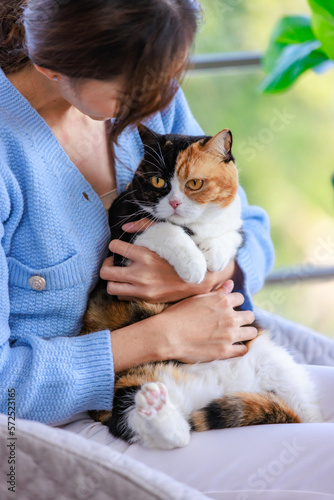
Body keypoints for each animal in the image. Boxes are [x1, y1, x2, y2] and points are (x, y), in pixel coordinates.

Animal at [79, 124, 322, 450]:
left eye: (194, 183)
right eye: (158, 181)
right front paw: (194, 265)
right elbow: (164, 228)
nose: (174, 203)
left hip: (284, 372)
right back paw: (158, 410)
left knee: (307, 415)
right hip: (123, 384)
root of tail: (218, 387)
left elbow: (230, 235)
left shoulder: (235, 225)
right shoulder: (124, 229)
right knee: (154, 426)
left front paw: (214, 256)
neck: (196, 227)